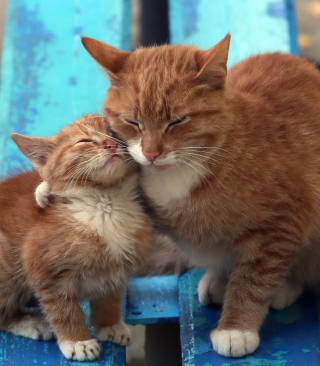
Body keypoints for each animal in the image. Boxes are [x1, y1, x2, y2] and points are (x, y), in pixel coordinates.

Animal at [0, 114, 152, 360]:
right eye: (85, 141)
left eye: (114, 132)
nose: (110, 144)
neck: (105, 201)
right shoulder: (45, 268)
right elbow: (63, 309)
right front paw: (77, 341)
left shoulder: (118, 265)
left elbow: (110, 296)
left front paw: (109, 323)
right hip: (7, 266)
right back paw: (32, 323)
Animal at [78, 35, 320, 358]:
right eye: (133, 122)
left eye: (176, 121)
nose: (151, 153)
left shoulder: (282, 224)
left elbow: (254, 279)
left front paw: (237, 328)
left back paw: (283, 286)